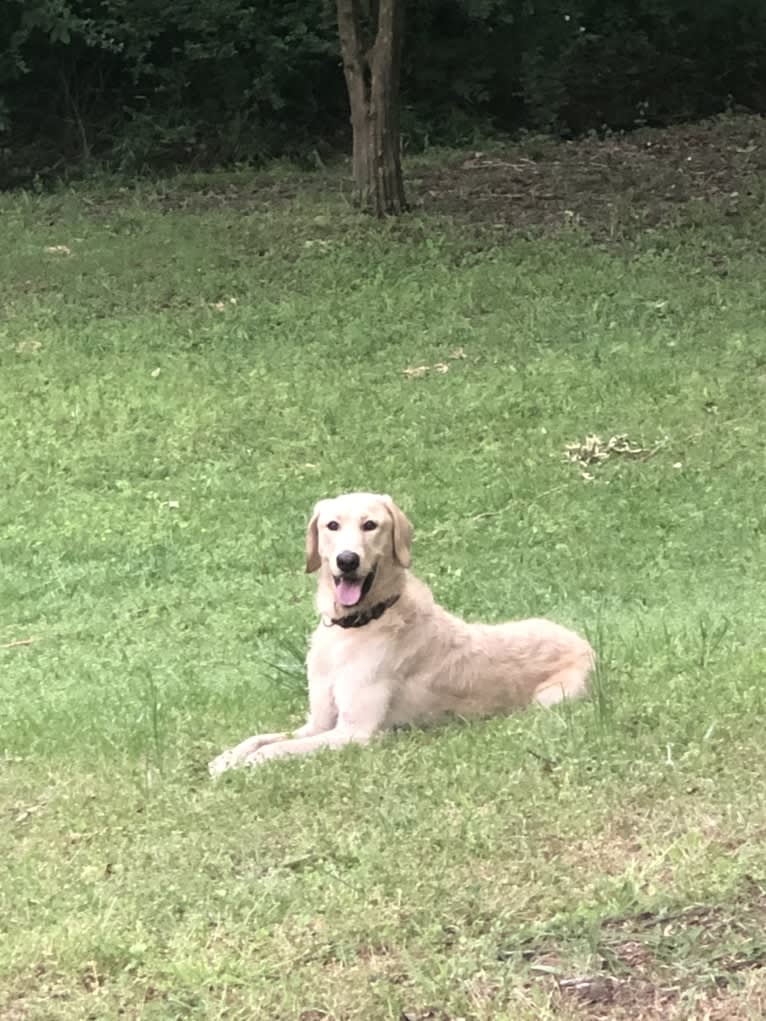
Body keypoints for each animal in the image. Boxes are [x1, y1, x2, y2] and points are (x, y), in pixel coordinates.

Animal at [208, 492, 592, 771]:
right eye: (332, 525)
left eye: (370, 525)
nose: (347, 560)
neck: (357, 626)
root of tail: (583, 641)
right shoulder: (317, 722)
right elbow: (262, 738)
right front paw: (227, 757)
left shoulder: (354, 732)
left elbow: (280, 749)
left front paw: (249, 764)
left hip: (551, 698)